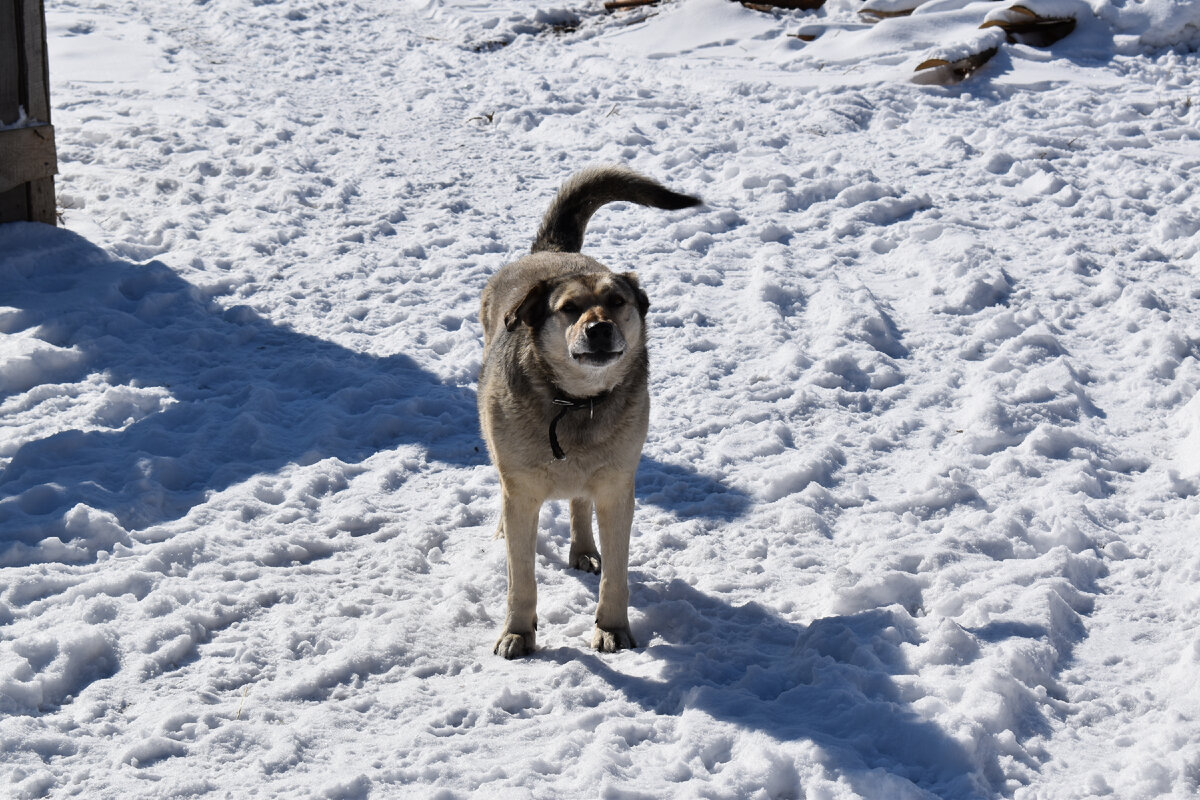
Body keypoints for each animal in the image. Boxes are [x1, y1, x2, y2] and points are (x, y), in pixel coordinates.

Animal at [477, 165, 700, 662]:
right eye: (569, 309)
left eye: (617, 301)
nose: (599, 329)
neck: (576, 401)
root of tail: (553, 253)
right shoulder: (522, 491)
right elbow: (521, 578)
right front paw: (518, 632)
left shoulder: (616, 488)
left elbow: (617, 573)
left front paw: (612, 628)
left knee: (580, 502)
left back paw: (583, 548)